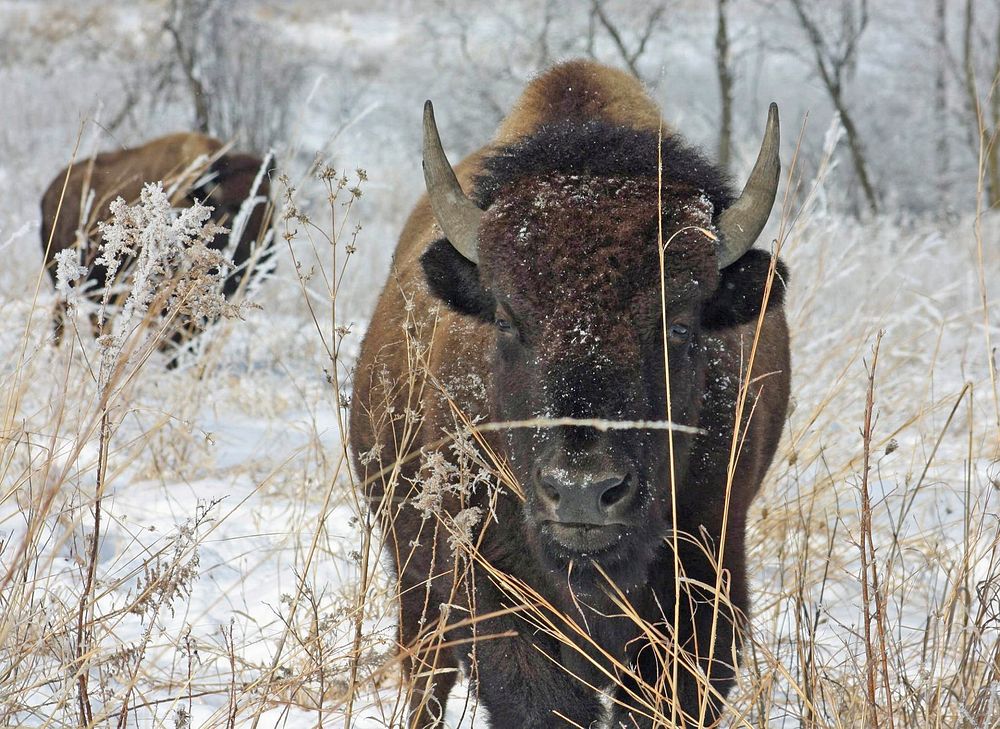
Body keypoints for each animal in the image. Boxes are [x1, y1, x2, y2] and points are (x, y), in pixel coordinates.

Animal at [348, 59, 792, 724]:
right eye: (507, 319)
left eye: (680, 324)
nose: (582, 492)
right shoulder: (497, 594)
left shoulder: (704, 596)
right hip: (413, 573)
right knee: (427, 675)